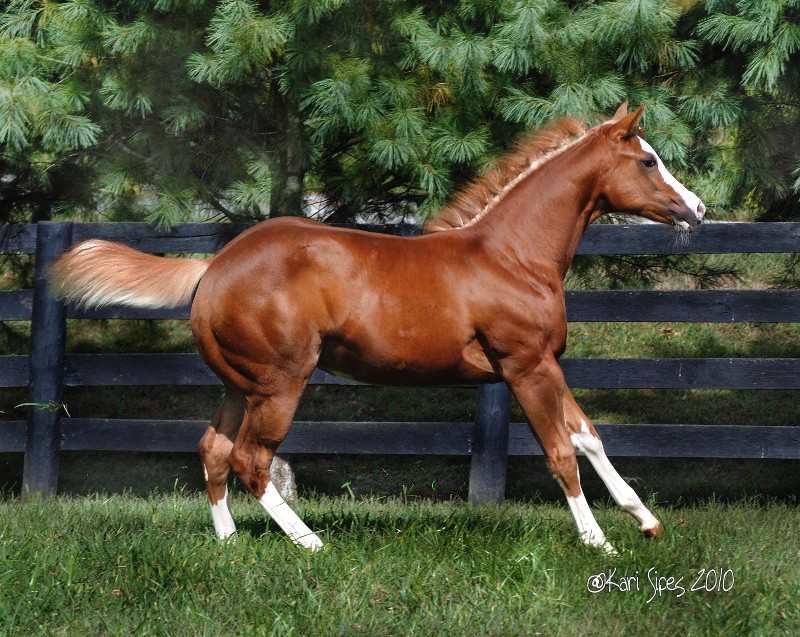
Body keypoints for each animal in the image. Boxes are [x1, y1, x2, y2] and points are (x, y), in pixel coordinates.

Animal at [48, 103, 705, 554]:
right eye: (649, 160)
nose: (696, 209)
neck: (512, 256)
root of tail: (213, 267)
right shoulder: (526, 365)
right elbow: (560, 451)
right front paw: (599, 542)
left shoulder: (547, 363)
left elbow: (590, 436)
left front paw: (645, 520)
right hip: (280, 383)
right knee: (252, 459)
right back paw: (310, 544)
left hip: (241, 384)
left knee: (214, 450)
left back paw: (229, 542)